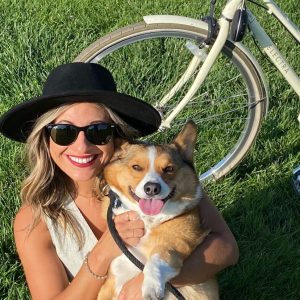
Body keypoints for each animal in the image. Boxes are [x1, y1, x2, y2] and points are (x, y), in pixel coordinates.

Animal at [98, 120, 218, 298]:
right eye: (136, 167)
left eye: (169, 168)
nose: (152, 188)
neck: (147, 219)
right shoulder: (117, 270)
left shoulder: (178, 244)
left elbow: (156, 259)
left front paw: (151, 288)